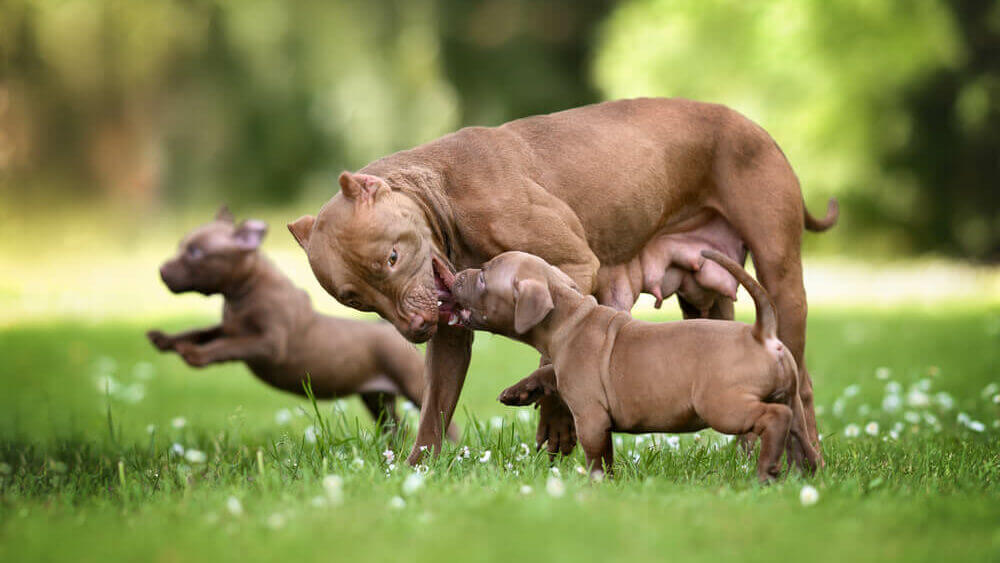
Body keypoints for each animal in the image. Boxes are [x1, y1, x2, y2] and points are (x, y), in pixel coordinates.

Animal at [147, 207, 458, 436]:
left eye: (195, 252)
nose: (161, 271)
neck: (243, 291)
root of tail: (390, 330)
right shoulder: (229, 327)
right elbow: (201, 331)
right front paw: (167, 340)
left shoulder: (269, 345)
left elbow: (227, 347)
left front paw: (195, 355)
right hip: (377, 398)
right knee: (395, 427)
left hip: (412, 383)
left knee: (443, 422)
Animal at [446, 252, 820, 484]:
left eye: (483, 278)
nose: (456, 275)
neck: (569, 319)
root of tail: (762, 334)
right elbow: (548, 373)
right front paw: (519, 391)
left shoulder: (591, 417)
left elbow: (597, 456)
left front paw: (597, 486)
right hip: (790, 401)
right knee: (801, 437)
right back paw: (804, 475)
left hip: (723, 406)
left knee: (774, 418)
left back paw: (765, 471)